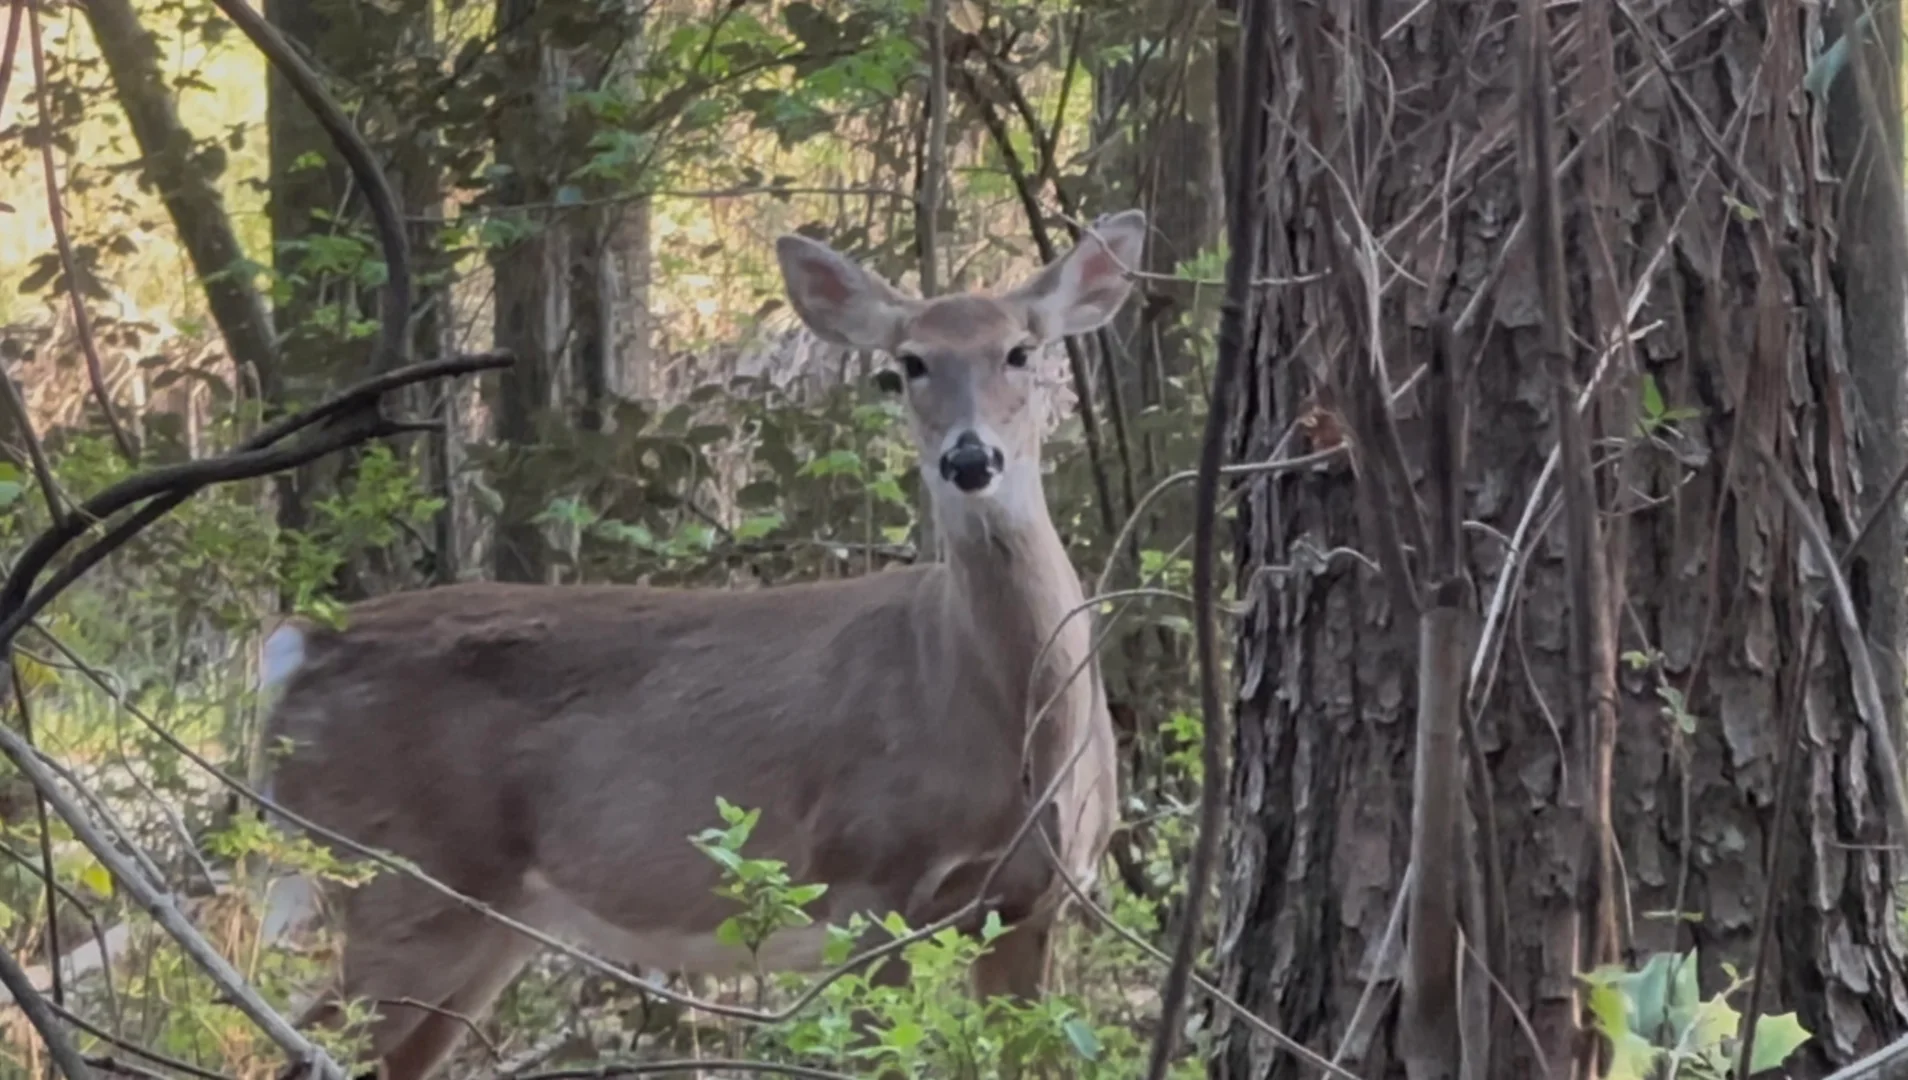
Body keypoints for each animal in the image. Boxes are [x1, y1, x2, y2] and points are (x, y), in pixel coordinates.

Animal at [254, 210, 1146, 1080]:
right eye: (909, 364)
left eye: (1021, 350)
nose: (969, 457)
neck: (1009, 720)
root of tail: (295, 651)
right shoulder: (868, 880)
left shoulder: (1034, 905)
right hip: (396, 875)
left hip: (486, 917)